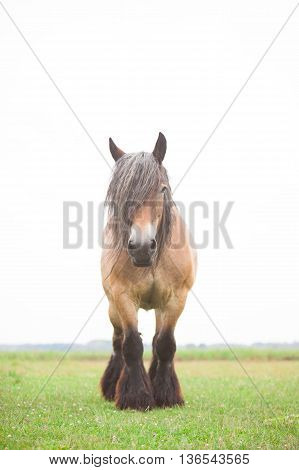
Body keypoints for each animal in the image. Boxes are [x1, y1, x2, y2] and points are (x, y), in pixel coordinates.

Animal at [101, 131, 198, 408]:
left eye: (162, 189)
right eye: (119, 194)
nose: (142, 247)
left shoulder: (176, 298)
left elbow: (164, 344)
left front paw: (166, 394)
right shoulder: (122, 297)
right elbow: (132, 345)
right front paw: (136, 397)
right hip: (113, 307)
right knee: (118, 341)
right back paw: (112, 387)